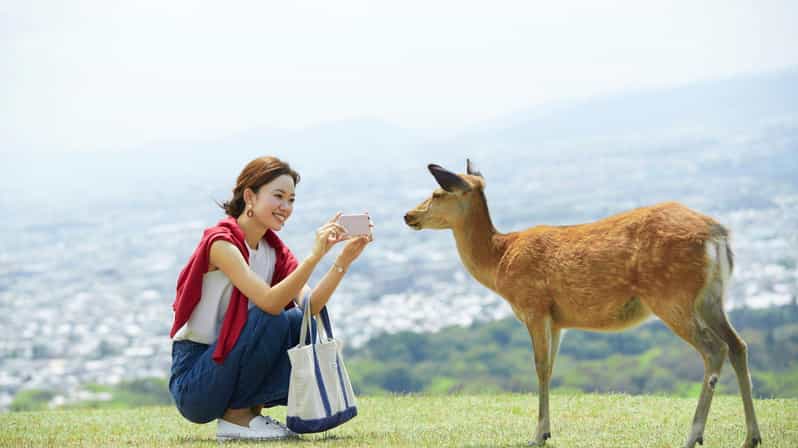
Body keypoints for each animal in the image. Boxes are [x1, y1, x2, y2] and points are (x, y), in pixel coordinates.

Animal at [403, 160, 761, 448]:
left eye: (437, 193)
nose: (408, 215)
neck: (500, 261)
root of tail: (718, 234)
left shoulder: (533, 306)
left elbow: (539, 366)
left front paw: (537, 435)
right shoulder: (558, 318)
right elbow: (550, 368)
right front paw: (546, 431)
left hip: (670, 296)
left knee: (714, 349)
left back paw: (693, 435)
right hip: (710, 297)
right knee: (738, 344)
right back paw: (752, 437)